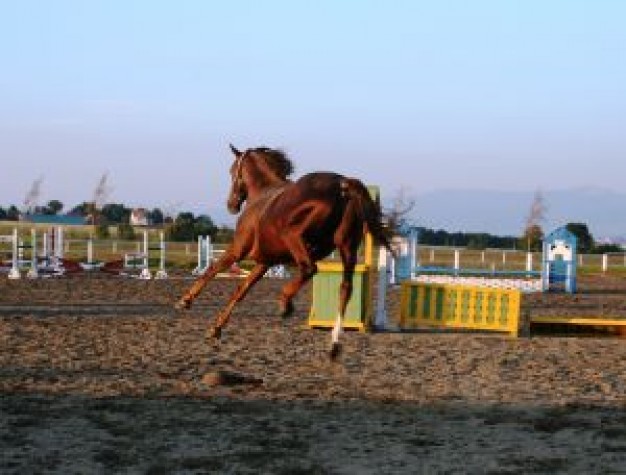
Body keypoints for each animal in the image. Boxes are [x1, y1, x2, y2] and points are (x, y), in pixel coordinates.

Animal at [176, 145, 390, 360]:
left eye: (232, 171)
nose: (231, 205)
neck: (261, 194)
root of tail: (343, 184)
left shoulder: (237, 250)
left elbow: (212, 269)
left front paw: (185, 301)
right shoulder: (264, 263)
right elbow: (241, 290)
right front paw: (216, 328)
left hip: (292, 235)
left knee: (309, 268)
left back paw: (285, 302)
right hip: (347, 248)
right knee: (345, 288)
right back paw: (334, 343)